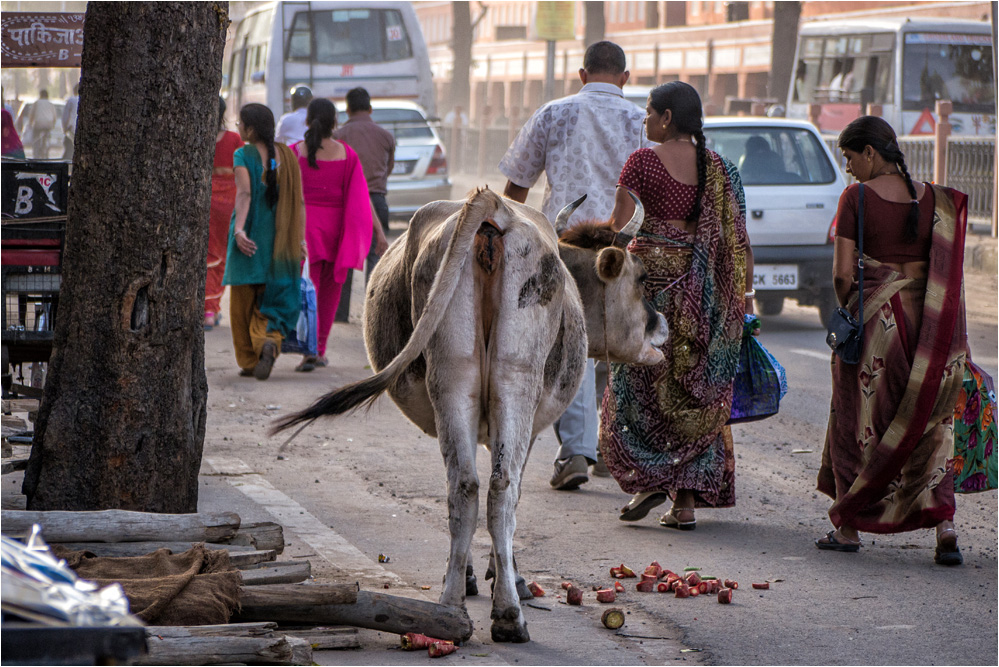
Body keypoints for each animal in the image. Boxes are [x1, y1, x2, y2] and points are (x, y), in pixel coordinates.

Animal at [272, 187, 672, 640]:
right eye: (642, 279)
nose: (662, 325)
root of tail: (493, 204)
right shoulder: (530, 428)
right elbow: (514, 498)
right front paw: (506, 574)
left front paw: (468, 575)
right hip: (516, 379)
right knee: (501, 489)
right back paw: (509, 612)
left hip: (453, 375)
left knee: (465, 486)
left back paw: (450, 607)